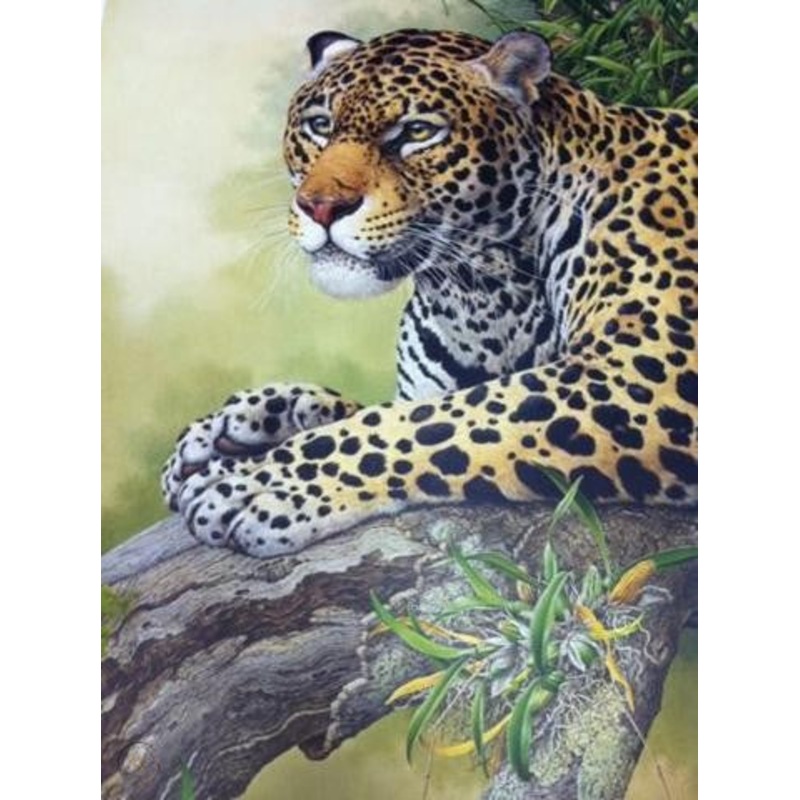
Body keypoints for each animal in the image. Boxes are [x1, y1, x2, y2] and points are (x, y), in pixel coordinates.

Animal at [162, 28, 698, 558]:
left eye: (418, 132)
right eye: (319, 125)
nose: (321, 206)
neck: (478, 297)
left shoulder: (641, 376)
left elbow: (419, 425)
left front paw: (255, 482)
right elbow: (384, 409)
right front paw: (230, 426)